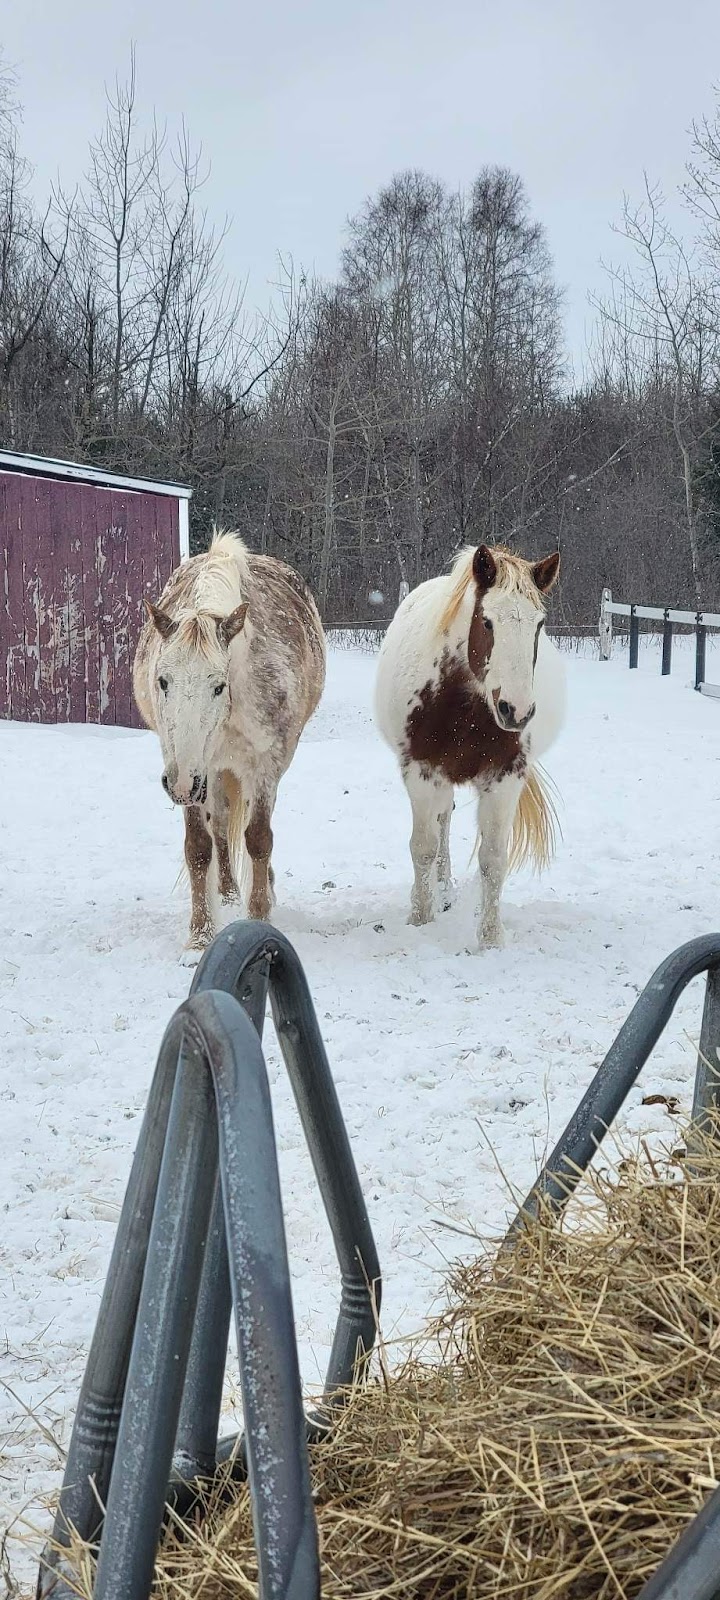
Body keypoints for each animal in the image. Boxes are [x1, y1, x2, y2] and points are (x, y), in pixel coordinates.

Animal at [133, 528, 324, 960]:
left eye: (218, 685)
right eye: (163, 681)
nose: (179, 783)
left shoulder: (265, 763)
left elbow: (259, 838)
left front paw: (259, 917)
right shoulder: (188, 765)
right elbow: (199, 846)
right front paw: (200, 935)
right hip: (213, 771)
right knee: (220, 825)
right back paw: (229, 892)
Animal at [374, 547, 566, 947]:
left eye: (539, 624)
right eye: (488, 622)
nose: (516, 710)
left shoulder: (505, 779)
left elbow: (493, 859)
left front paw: (490, 939)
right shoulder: (421, 774)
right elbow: (423, 847)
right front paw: (420, 919)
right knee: (441, 823)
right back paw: (440, 891)